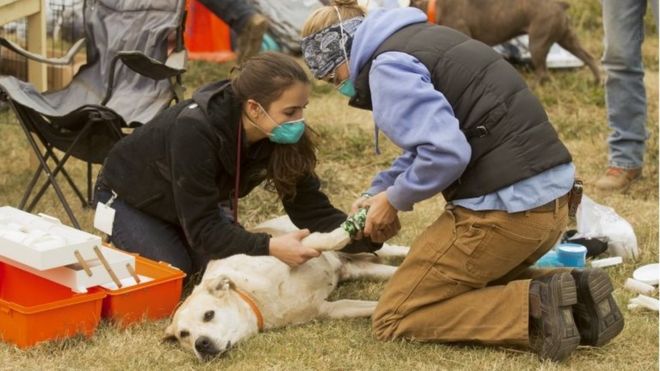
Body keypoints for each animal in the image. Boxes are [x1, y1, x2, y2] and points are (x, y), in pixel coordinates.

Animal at [164, 217, 408, 362]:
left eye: (208, 315)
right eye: (183, 335)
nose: (200, 344)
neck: (253, 297)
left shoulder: (297, 245)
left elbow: (325, 240)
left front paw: (347, 229)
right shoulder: (329, 309)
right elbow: (373, 308)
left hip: (373, 250)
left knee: (399, 250)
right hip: (362, 268)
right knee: (395, 271)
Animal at [412, 0, 604, 83]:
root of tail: (560, 5)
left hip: (537, 43)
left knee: (543, 72)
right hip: (567, 39)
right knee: (589, 58)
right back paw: (597, 81)